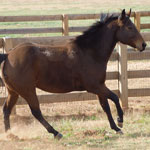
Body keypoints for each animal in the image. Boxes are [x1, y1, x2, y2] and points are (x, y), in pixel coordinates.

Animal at [0, 8, 146, 139]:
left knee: (6, 109)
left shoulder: (99, 87)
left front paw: (115, 128)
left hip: (14, 91)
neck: (90, 53)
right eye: (129, 27)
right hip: (28, 91)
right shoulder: (94, 87)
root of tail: (8, 56)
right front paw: (120, 121)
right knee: (36, 111)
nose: (143, 45)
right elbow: (115, 97)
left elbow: (106, 107)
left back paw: (10, 135)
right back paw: (56, 133)